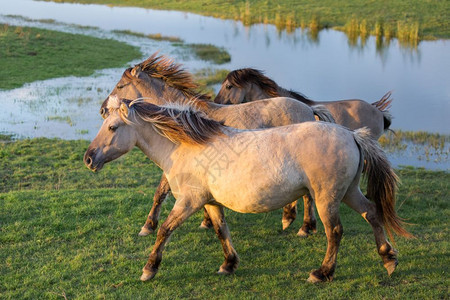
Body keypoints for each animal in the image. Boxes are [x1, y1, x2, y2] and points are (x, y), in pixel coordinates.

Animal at [83, 97, 412, 282]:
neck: (186, 146)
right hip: (349, 192)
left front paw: (149, 269)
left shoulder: (188, 202)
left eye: (112, 127)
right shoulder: (210, 202)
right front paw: (229, 265)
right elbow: (221, 231)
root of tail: (352, 135)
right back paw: (388, 260)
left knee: (335, 232)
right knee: (372, 213)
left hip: (326, 198)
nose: (88, 158)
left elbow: (164, 230)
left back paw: (322, 273)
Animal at [101, 53, 334, 237]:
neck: (182, 117)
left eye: (120, 85)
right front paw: (205, 221)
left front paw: (148, 226)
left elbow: (160, 192)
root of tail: (308, 109)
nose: (103, 109)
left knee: (308, 196)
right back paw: (290, 219)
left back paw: (305, 227)